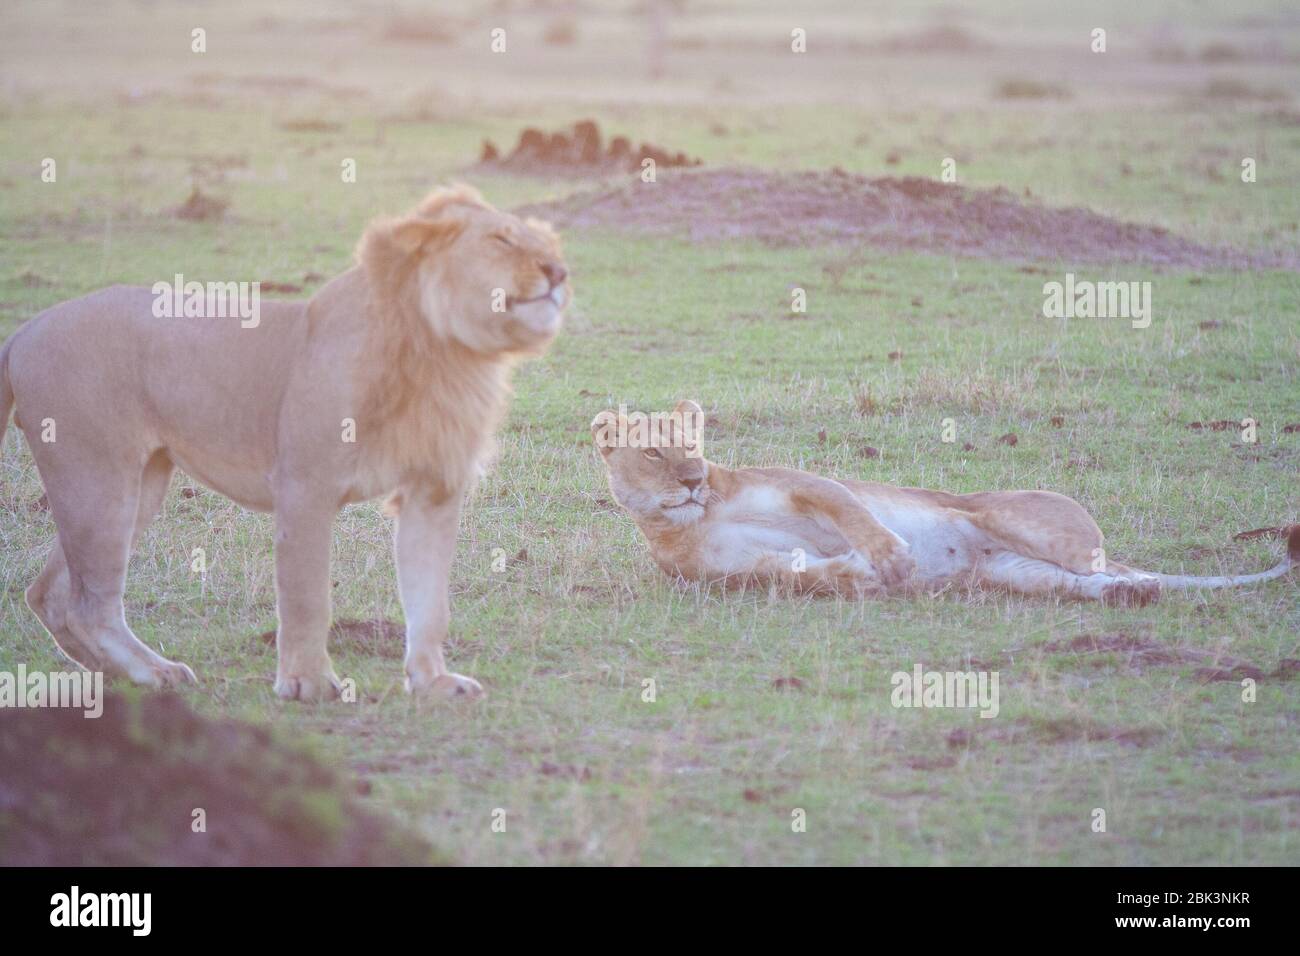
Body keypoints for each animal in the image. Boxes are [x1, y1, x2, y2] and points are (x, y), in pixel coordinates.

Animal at [0, 184, 570, 701]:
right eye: (501, 239)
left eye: (547, 245)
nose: (560, 273)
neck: (442, 350)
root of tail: (24, 331)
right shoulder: (305, 485)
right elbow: (306, 594)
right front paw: (307, 684)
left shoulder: (432, 492)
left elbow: (430, 602)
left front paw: (433, 682)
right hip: (97, 478)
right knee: (86, 603)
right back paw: (152, 672)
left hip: (140, 482)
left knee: (49, 593)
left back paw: (118, 676)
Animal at [593, 400, 1298, 603]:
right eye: (653, 453)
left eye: (693, 444)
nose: (693, 478)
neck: (696, 516)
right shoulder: (739, 572)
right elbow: (806, 574)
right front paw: (859, 575)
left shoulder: (805, 482)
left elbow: (851, 511)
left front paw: (892, 559)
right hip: (1022, 575)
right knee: (1095, 583)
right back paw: (1133, 595)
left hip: (1019, 522)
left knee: (1112, 566)